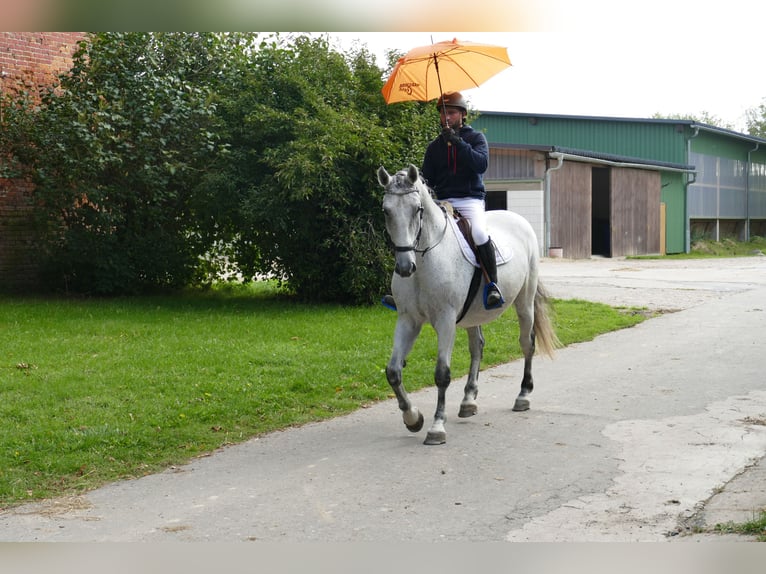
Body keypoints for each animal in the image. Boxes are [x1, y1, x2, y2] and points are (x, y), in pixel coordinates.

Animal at [377, 164, 559, 445]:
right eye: (386, 210)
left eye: (417, 209)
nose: (405, 267)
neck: (426, 260)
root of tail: (519, 220)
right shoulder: (408, 320)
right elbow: (393, 371)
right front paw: (413, 418)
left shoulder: (445, 320)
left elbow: (442, 373)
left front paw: (436, 427)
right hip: (473, 315)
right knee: (477, 348)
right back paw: (468, 401)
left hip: (525, 302)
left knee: (527, 344)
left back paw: (523, 396)